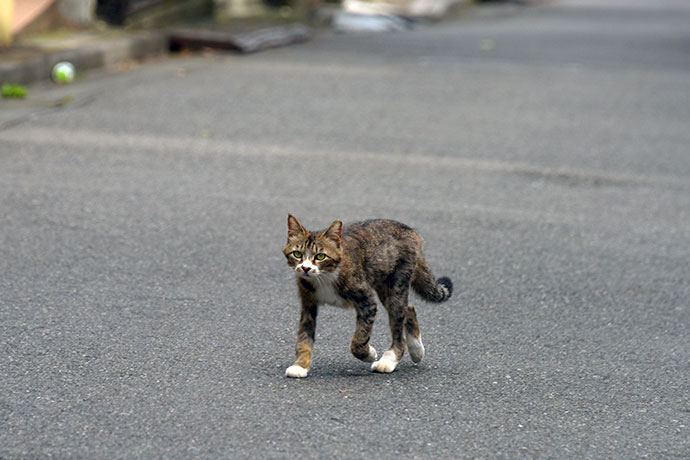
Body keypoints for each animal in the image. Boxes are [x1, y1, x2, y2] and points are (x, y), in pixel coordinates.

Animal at [280, 215, 452, 378]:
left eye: (320, 256)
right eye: (297, 254)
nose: (305, 268)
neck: (324, 276)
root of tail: (411, 231)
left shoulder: (366, 302)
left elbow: (358, 339)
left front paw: (369, 354)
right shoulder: (308, 304)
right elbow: (304, 336)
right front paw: (300, 366)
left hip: (396, 284)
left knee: (398, 326)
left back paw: (389, 359)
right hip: (384, 286)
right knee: (408, 308)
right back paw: (417, 350)